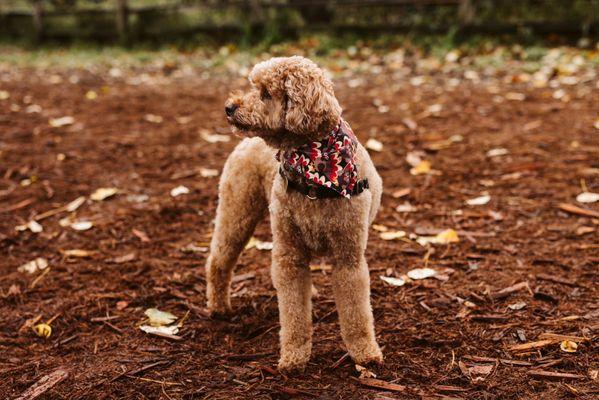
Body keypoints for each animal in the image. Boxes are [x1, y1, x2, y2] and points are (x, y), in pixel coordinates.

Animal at [207, 55, 384, 372]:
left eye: (266, 93)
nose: (229, 107)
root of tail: (246, 142)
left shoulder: (349, 258)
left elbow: (357, 314)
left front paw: (365, 352)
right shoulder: (289, 255)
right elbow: (293, 314)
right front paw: (293, 356)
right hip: (237, 212)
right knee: (218, 261)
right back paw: (218, 307)